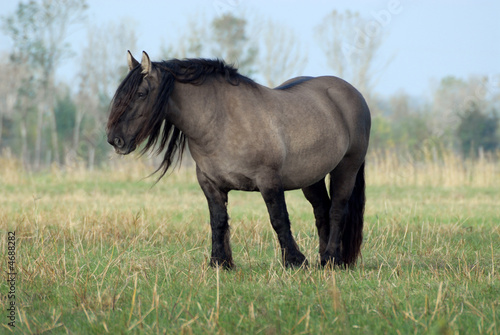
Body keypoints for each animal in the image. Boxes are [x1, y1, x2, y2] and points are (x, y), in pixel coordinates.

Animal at [106, 50, 372, 270]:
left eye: (141, 93)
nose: (115, 140)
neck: (221, 121)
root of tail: (351, 93)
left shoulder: (269, 181)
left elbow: (279, 219)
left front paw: (294, 261)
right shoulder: (210, 184)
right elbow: (218, 221)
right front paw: (220, 262)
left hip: (346, 167)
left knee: (337, 210)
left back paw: (332, 260)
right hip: (311, 178)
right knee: (322, 211)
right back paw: (323, 259)